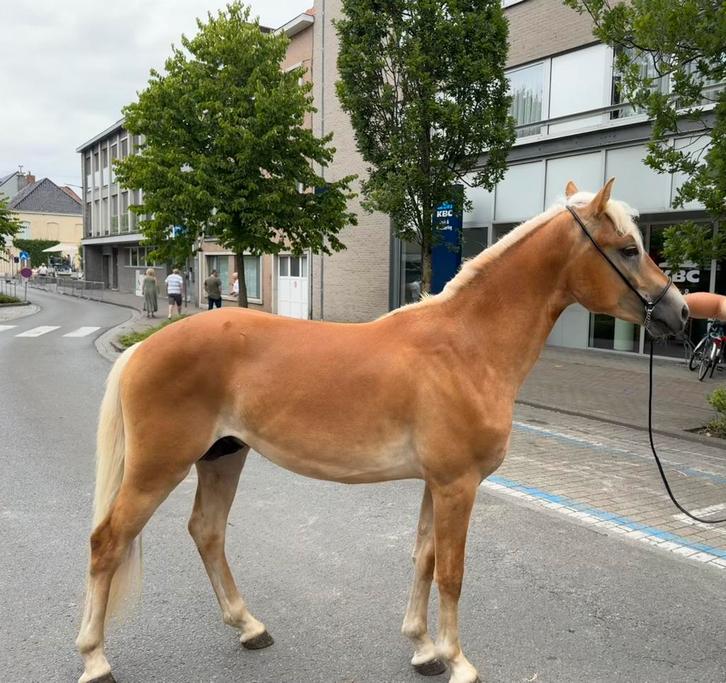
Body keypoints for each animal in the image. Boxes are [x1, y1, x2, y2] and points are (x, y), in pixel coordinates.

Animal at [76, 179, 688, 683]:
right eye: (628, 249)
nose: (679, 314)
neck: (466, 346)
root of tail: (144, 348)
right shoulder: (458, 485)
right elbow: (452, 572)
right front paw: (458, 662)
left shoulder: (437, 484)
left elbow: (425, 558)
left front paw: (423, 649)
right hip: (159, 468)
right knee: (108, 543)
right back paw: (95, 660)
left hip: (224, 456)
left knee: (206, 531)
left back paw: (249, 626)